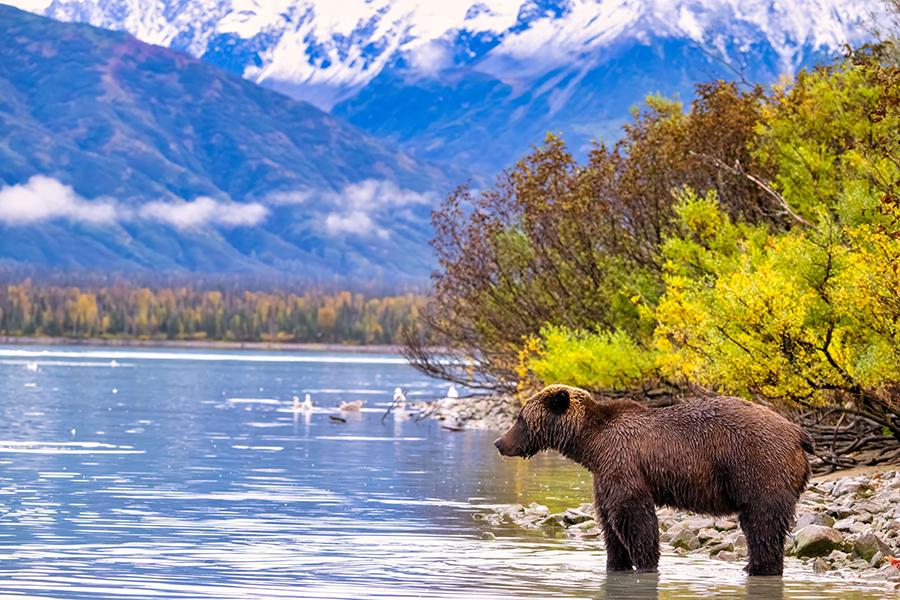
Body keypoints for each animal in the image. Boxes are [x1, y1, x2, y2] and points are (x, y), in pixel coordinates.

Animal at [494, 384, 812, 576]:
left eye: (520, 419)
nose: (499, 442)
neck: (591, 445)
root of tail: (798, 433)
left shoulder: (624, 463)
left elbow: (633, 516)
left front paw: (646, 564)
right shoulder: (604, 474)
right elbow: (609, 523)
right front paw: (616, 564)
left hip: (757, 467)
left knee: (762, 523)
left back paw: (759, 568)